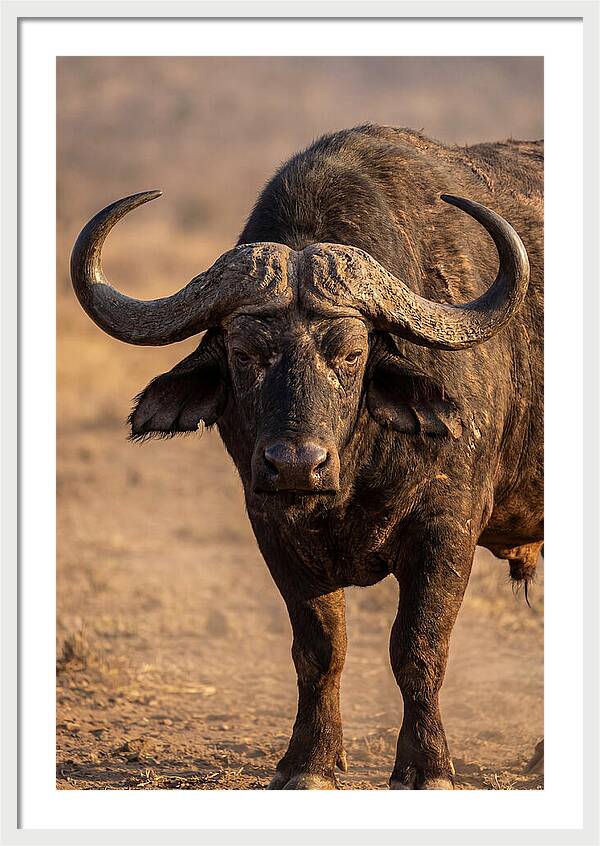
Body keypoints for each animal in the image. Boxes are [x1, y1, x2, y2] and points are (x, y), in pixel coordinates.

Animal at [71, 124, 543, 790]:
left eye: (350, 353)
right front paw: (310, 763)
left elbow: (419, 647)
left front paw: (427, 767)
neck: (353, 472)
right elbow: (320, 650)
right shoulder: (272, 528)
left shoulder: (446, 529)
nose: (295, 464)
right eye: (245, 351)